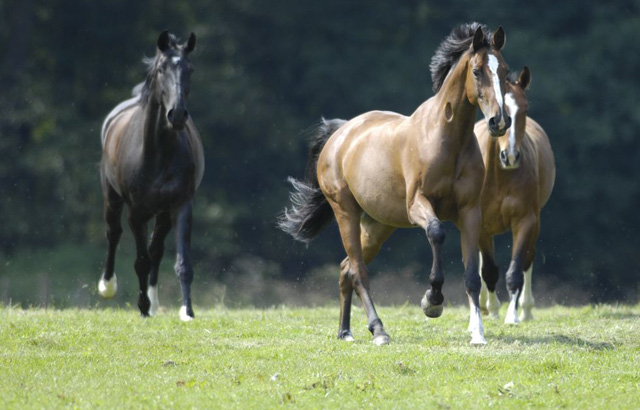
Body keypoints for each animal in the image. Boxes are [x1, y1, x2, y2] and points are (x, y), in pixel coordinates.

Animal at [99, 31, 204, 320]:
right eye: (161, 69)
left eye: (190, 69)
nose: (177, 114)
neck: (158, 153)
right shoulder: (137, 212)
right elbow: (141, 261)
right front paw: (142, 307)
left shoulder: (181, 205)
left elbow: (182, 262)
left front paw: (187, 310)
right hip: (112, 196)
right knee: (113, 232)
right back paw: (108, 286)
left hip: (163, 212)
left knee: (156, 248)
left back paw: (155, 303)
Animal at [282, 21, 512, 342]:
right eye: (477, 71)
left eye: (505, 71)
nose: (499, 122)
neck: (447, 140)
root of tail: (341, 133)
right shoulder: (418, 205)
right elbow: (436, 233)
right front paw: (432, 301)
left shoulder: (469, 212)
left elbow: (471, 277)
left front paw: (477, 334)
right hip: (345, 212)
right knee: (358, 271)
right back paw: (379, 331)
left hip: (379, 225)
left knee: (345, 269)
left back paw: (345, 331)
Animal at [472, 66, 556, 324]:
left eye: (525, 108)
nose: (510, 156)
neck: (499, 176)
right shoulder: (481, 224)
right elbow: (489, 270)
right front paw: (492, 309)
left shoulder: (526, 220)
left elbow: (516, 270)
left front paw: (512, 315)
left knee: (528, 259)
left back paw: (526, 309)